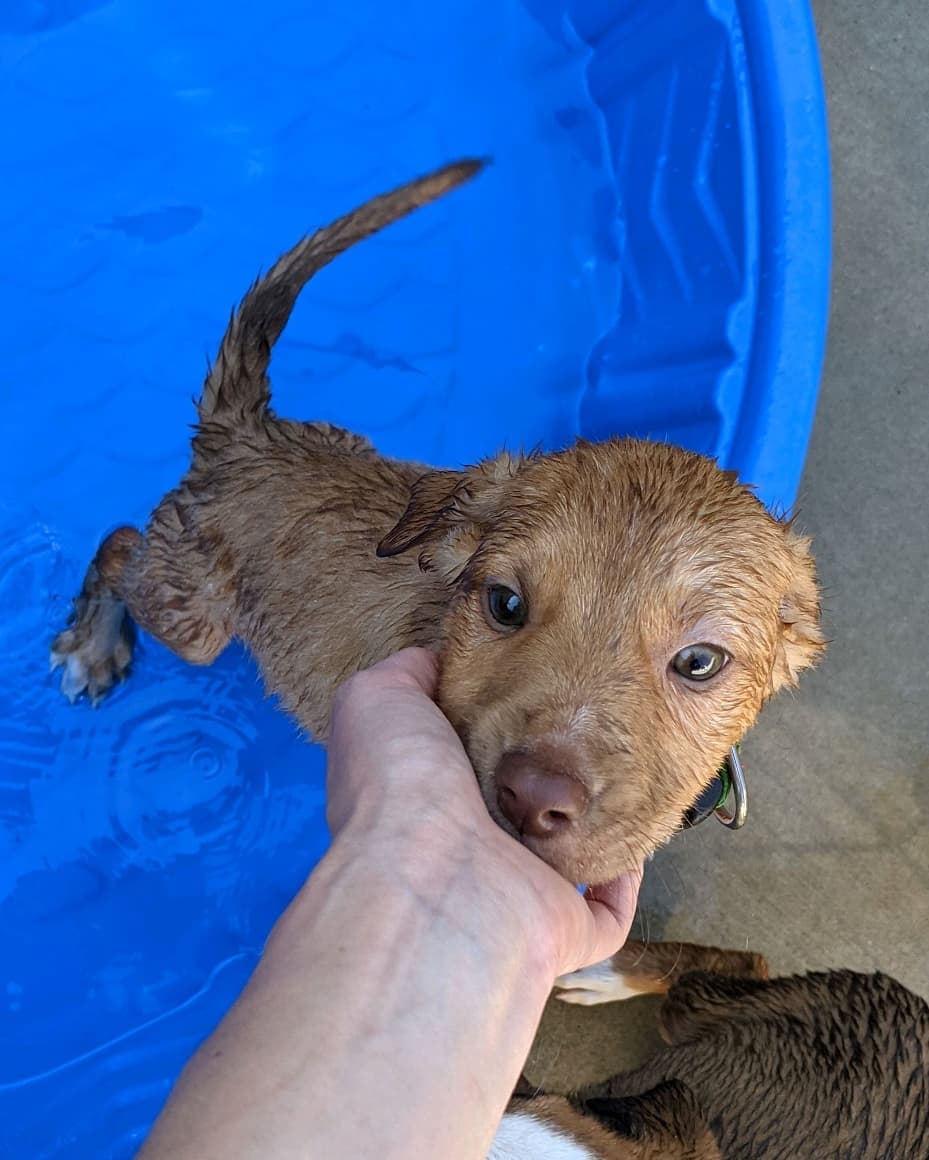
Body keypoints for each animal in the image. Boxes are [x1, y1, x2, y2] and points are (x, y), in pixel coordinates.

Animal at [50, 161, 821, 886]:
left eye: (699, 662)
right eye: (504, 604)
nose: (531, 796)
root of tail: (246, 434)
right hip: (195, 614)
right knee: (118, 546)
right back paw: (93, 647)